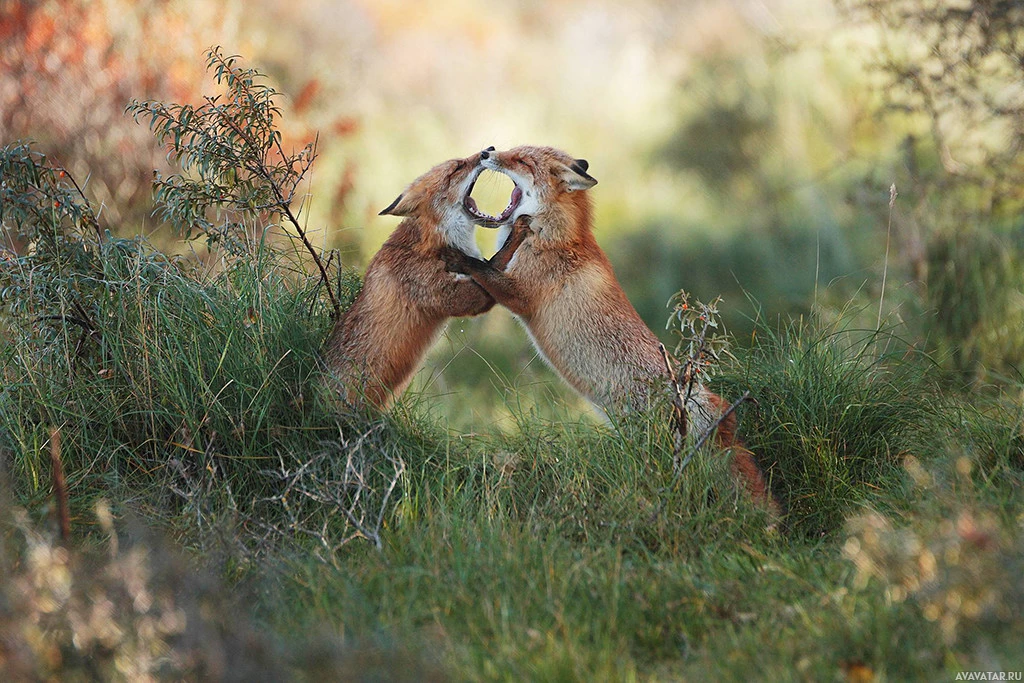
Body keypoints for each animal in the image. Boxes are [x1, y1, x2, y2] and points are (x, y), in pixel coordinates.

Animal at [321, 147, 528, 409]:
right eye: (457, 168)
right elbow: (492, 264)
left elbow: (486, 265)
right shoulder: (455, 296)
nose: (487, 150)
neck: (431, 244)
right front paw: (516, 232)